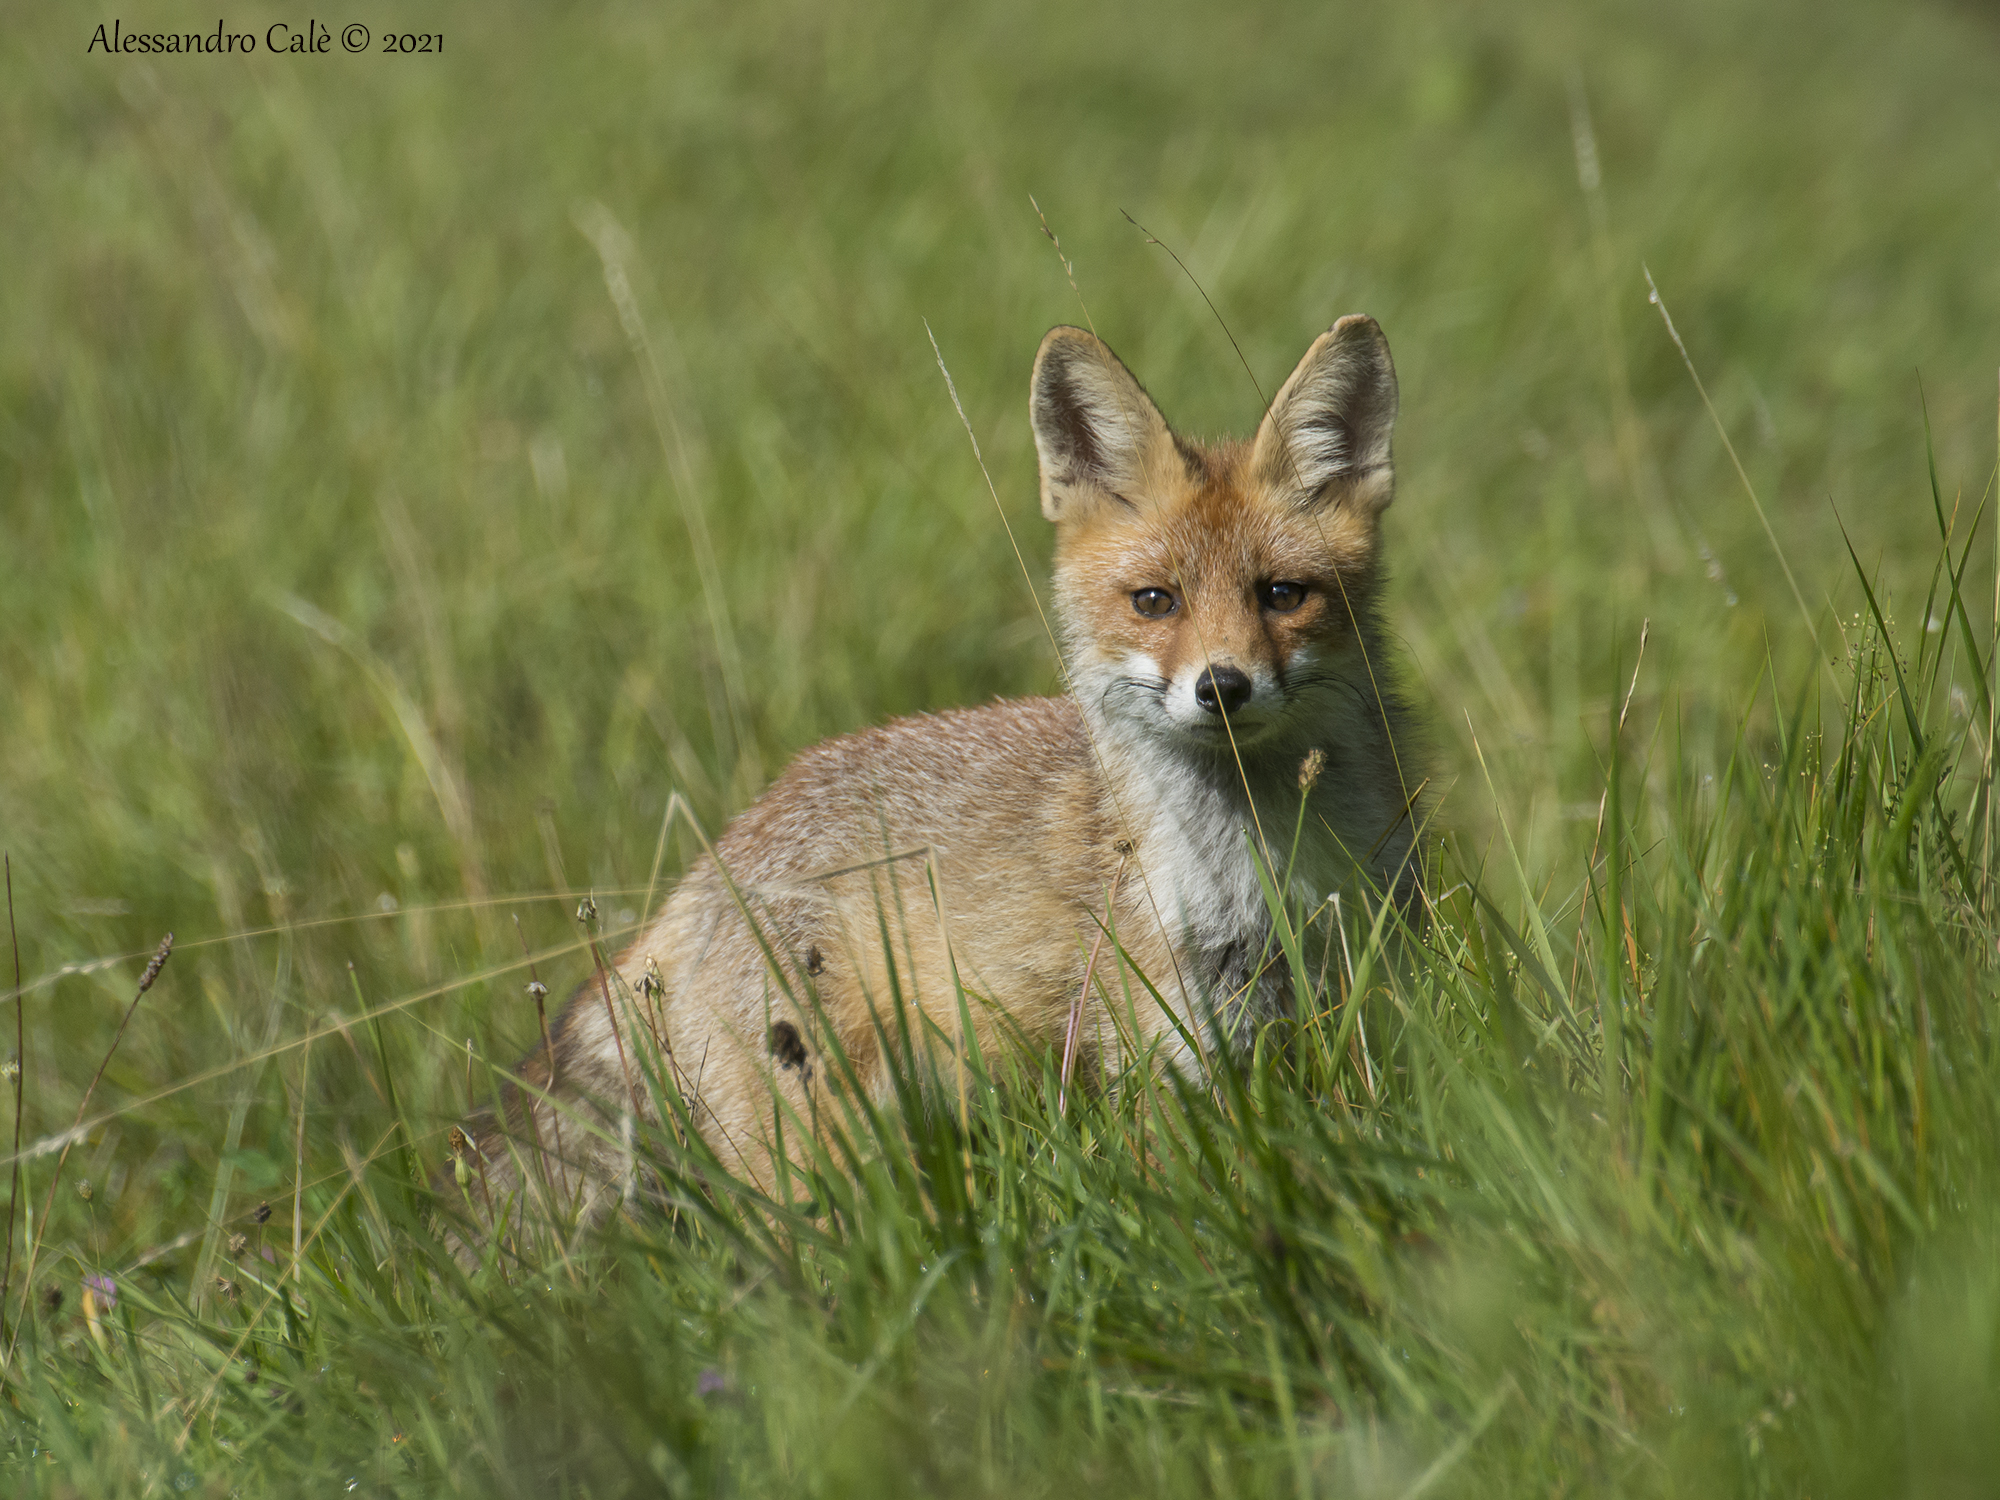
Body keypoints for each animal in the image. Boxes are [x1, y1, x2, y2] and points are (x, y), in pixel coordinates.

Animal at [458, 314, 1421, 1231]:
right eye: (1156, 602)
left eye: (1282, 595)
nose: (1221, 687)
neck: (1258, 875)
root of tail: (707, 867)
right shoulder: (1166, 1047)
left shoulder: (1357, 999)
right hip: (815, 1144)